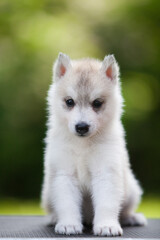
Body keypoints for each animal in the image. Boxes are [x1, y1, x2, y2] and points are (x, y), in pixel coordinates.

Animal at [42, 53, 147, 236]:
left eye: (97, 103)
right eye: (70, 102)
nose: (81, 127)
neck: (83, 144)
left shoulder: (106, 172)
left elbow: (107, 203)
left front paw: (107, 226)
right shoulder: (64, 175)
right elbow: (67, 204)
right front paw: (69, 224)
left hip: (132, 190)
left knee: (124, 210)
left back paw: (132, 218)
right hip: (47, 193)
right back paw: (54, 218)